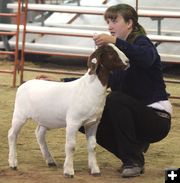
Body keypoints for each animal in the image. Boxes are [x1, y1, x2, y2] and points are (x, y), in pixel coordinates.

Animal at [8, 43, 129, 177]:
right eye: (110, 53)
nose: (128, 62)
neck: (89, 88)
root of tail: (24, 84)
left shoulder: (93, 123)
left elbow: (92, 146)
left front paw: (95, 170)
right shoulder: (73, 122)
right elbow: (71, 146)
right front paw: (69, 171)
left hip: (44, 118)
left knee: (39, 134)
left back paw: (50, 161)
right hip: (19, 114)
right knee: (12, 134)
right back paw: (13, 163)